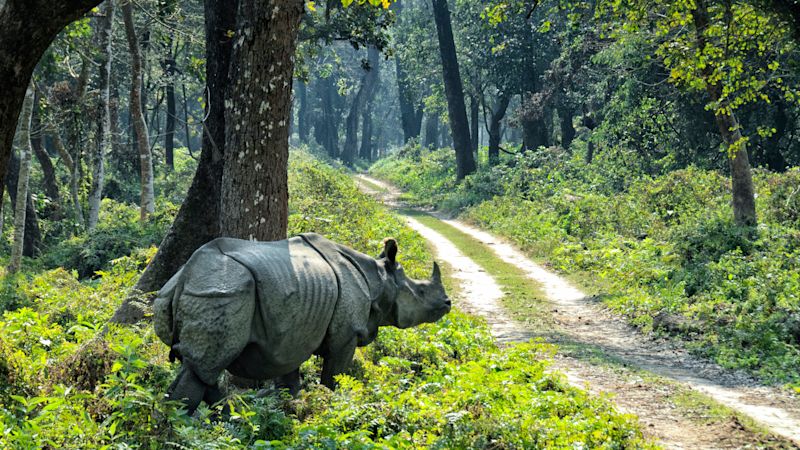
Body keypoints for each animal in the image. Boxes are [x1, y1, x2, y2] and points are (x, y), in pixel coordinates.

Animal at [153, 232, 450, 413]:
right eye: (421, 291)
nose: (448, 303)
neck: (379, 279)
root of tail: (186, 277)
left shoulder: (292, 336)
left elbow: (289, 379)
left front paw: (293, 409)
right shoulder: (346, 336)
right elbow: (334, 377)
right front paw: (329, 407)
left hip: (191, 291)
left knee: (204, 370)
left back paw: (228, 421)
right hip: (221, 292)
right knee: (203, 368)